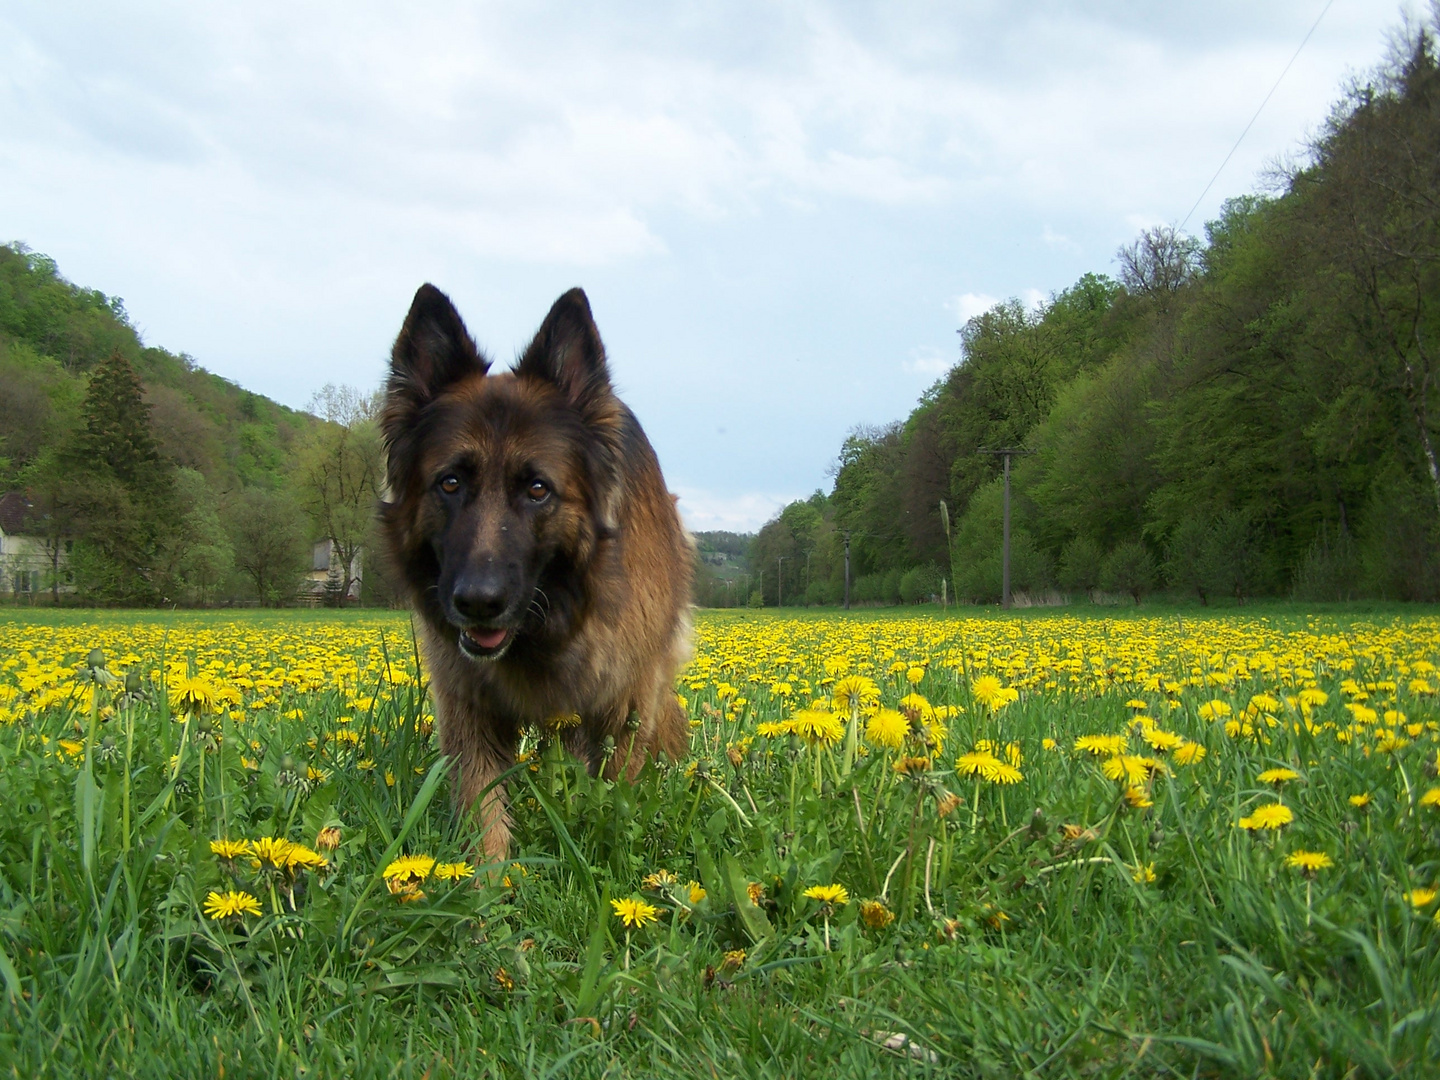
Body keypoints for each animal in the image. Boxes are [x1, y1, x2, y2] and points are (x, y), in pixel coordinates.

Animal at [380, 285, 694, 864]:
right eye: (450, 482)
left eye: (538, 489)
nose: (478, 602)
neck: (549, 624)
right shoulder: (468, 703)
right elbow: (483, 810)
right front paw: (491, 881)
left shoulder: (626, 695)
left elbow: (615, 790)